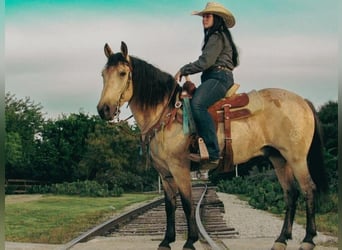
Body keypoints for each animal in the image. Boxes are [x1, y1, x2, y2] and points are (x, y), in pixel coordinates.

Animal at [97, 42, 328, 249]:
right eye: (102, 74)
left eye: (122, 73)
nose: (104, 109)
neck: (166, 114)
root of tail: (302, 101)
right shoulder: (165, 173)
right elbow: (170, 206)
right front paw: (166, 241)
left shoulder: (179, 168)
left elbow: (187, 203)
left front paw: (190, 241)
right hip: (278, 158)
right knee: (291, 193)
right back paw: (281, 239)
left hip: (297, 158)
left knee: (308, 189)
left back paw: (308, 239)